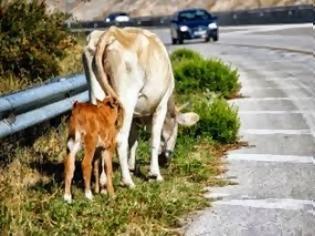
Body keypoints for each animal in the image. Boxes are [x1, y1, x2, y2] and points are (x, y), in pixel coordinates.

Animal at [82, 26, 199, 188]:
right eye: (176, 128)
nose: (166, 160)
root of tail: (111, 33)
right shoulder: (161, 105)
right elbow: (154, 138)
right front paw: (154, 174)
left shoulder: (136, 116)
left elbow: (133, 140)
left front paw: (132, 167)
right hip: (127, 98)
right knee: (120, 139)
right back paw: (127, 182)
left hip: (95, 94)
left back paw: (102, 182)